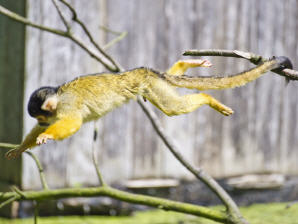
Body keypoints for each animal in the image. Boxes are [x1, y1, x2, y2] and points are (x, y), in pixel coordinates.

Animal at [5, 56, 292, 158]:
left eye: (41, 117)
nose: (41, 123)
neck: (58, 99)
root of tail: (142, 71)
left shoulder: (68, 106)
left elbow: (73, 123)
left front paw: (45, 136)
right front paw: (22, 147)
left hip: (150, 85)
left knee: (173, 107)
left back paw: (206, 98)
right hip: (154, 84)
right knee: (170, 87)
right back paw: (186, 65)